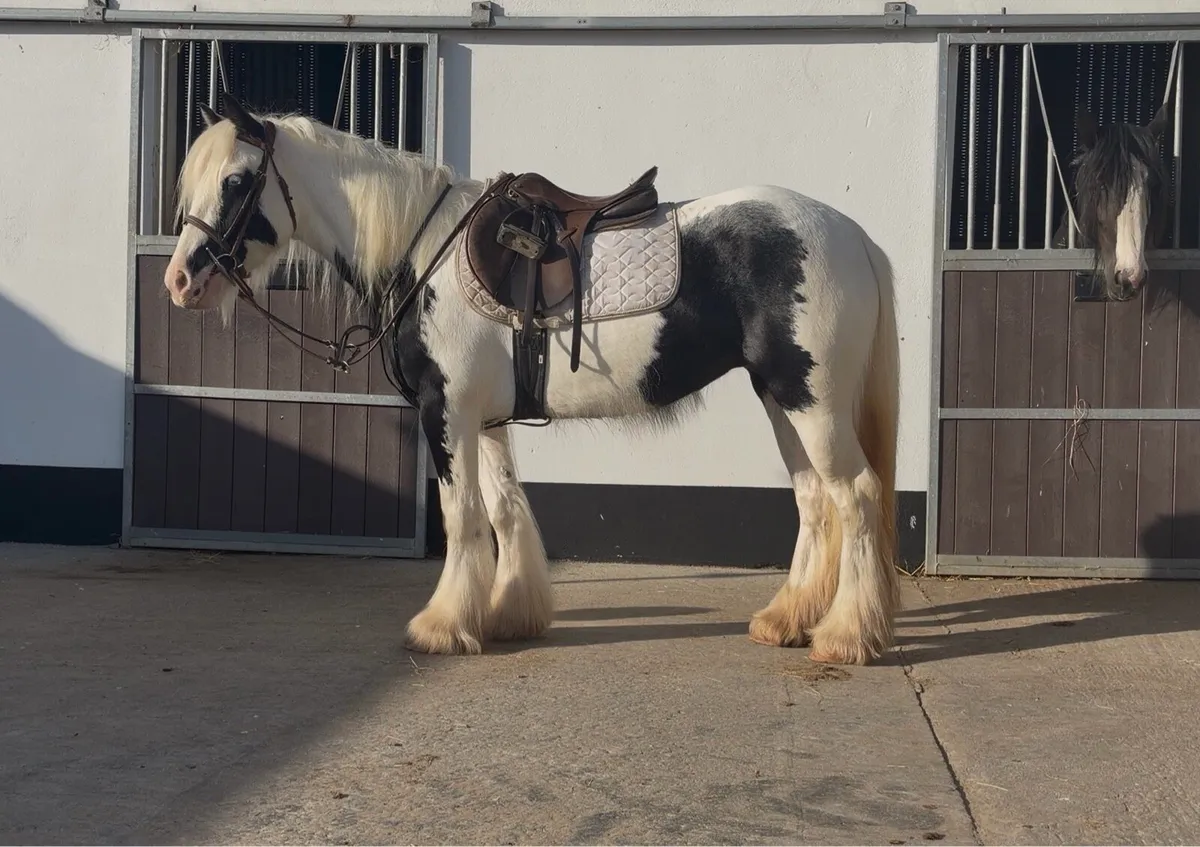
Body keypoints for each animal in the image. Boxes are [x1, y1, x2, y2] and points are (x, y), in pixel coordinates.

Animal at [163, 93, 902, 666]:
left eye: (236, 182)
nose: (179, 281)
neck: (421, 250)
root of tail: (852, 234)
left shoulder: (446, 411)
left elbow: (462, 516)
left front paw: (442, 626)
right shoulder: (485, 421)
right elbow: (503, 508)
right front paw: (508, 614)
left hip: (811, 402)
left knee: (857, 495)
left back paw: (845, 637)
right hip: (783, 400)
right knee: (815, 500)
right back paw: (786, 620)